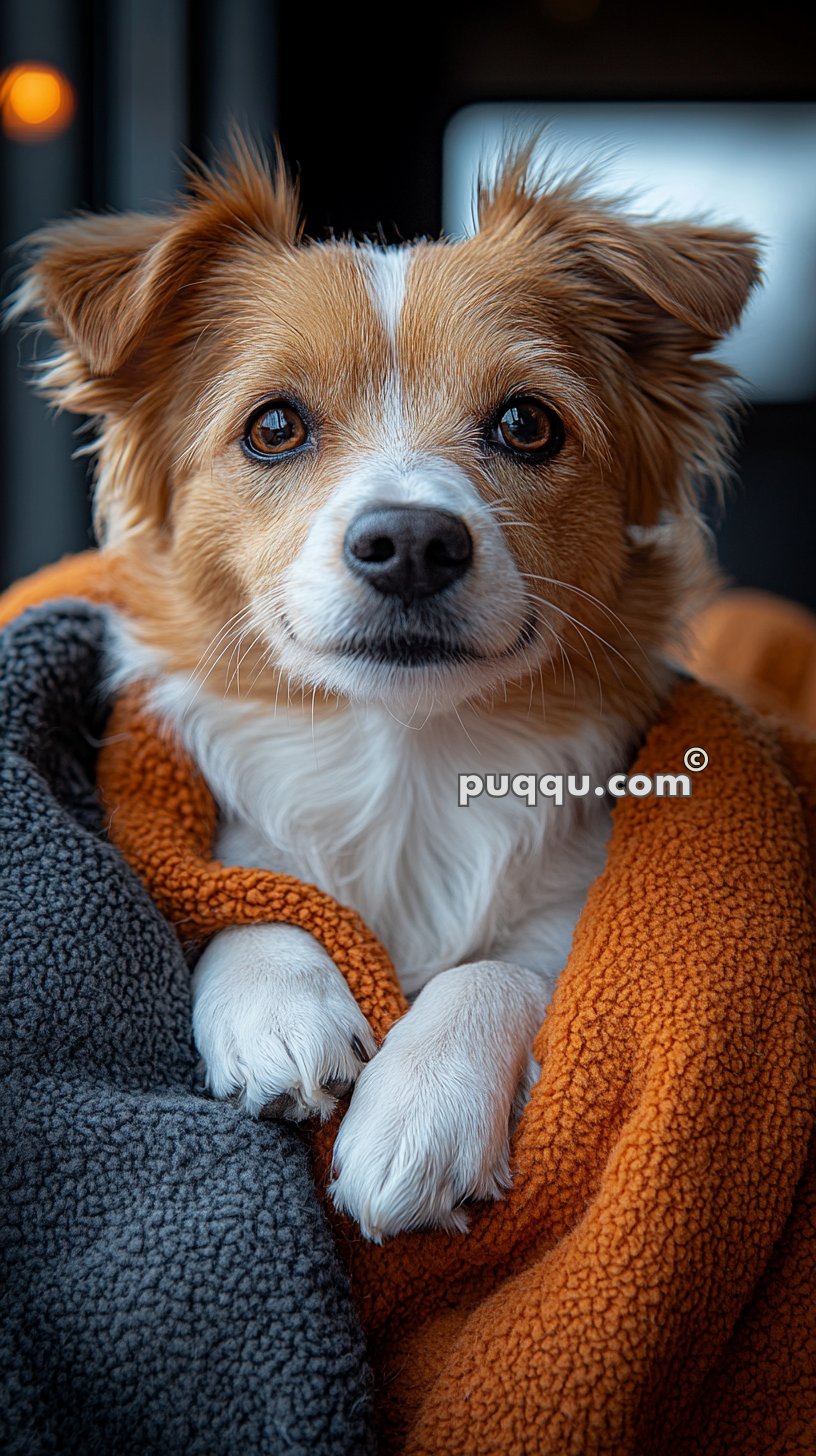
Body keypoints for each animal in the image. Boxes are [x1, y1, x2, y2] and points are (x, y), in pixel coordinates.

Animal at [12, 136, 763, 1240]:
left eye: (527, 424)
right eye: (273, 426)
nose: (410, 542)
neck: (405, 757)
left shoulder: (577, 917)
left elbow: (501, 967)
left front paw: (422, 1100)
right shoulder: (222, 846)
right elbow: (254, 887)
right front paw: (277, 1005)